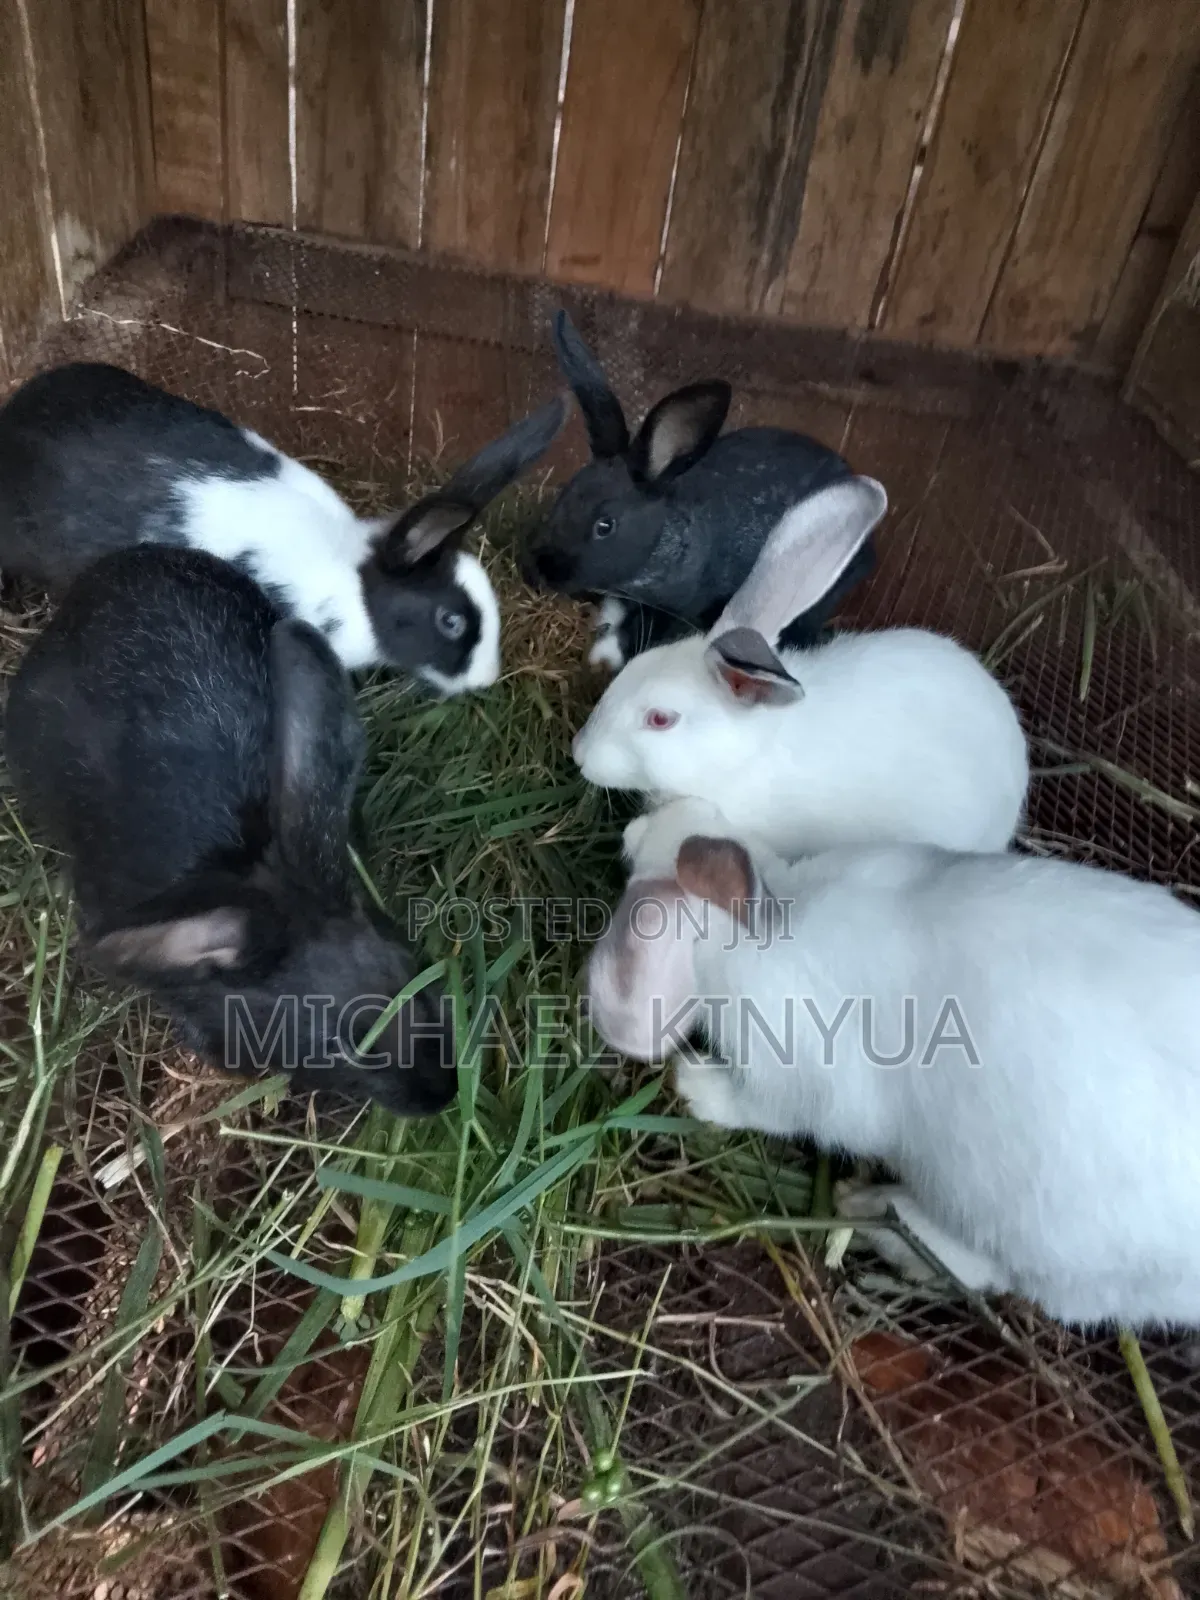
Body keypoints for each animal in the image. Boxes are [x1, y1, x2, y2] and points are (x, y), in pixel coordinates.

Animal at [586, 797, 1200, 1328]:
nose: (629, 833)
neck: (763, 930)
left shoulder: (801, 1078)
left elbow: (761, 1109)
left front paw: (695, 1085)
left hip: (1033, 1233)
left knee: (993, 1272)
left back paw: (873, 1207)